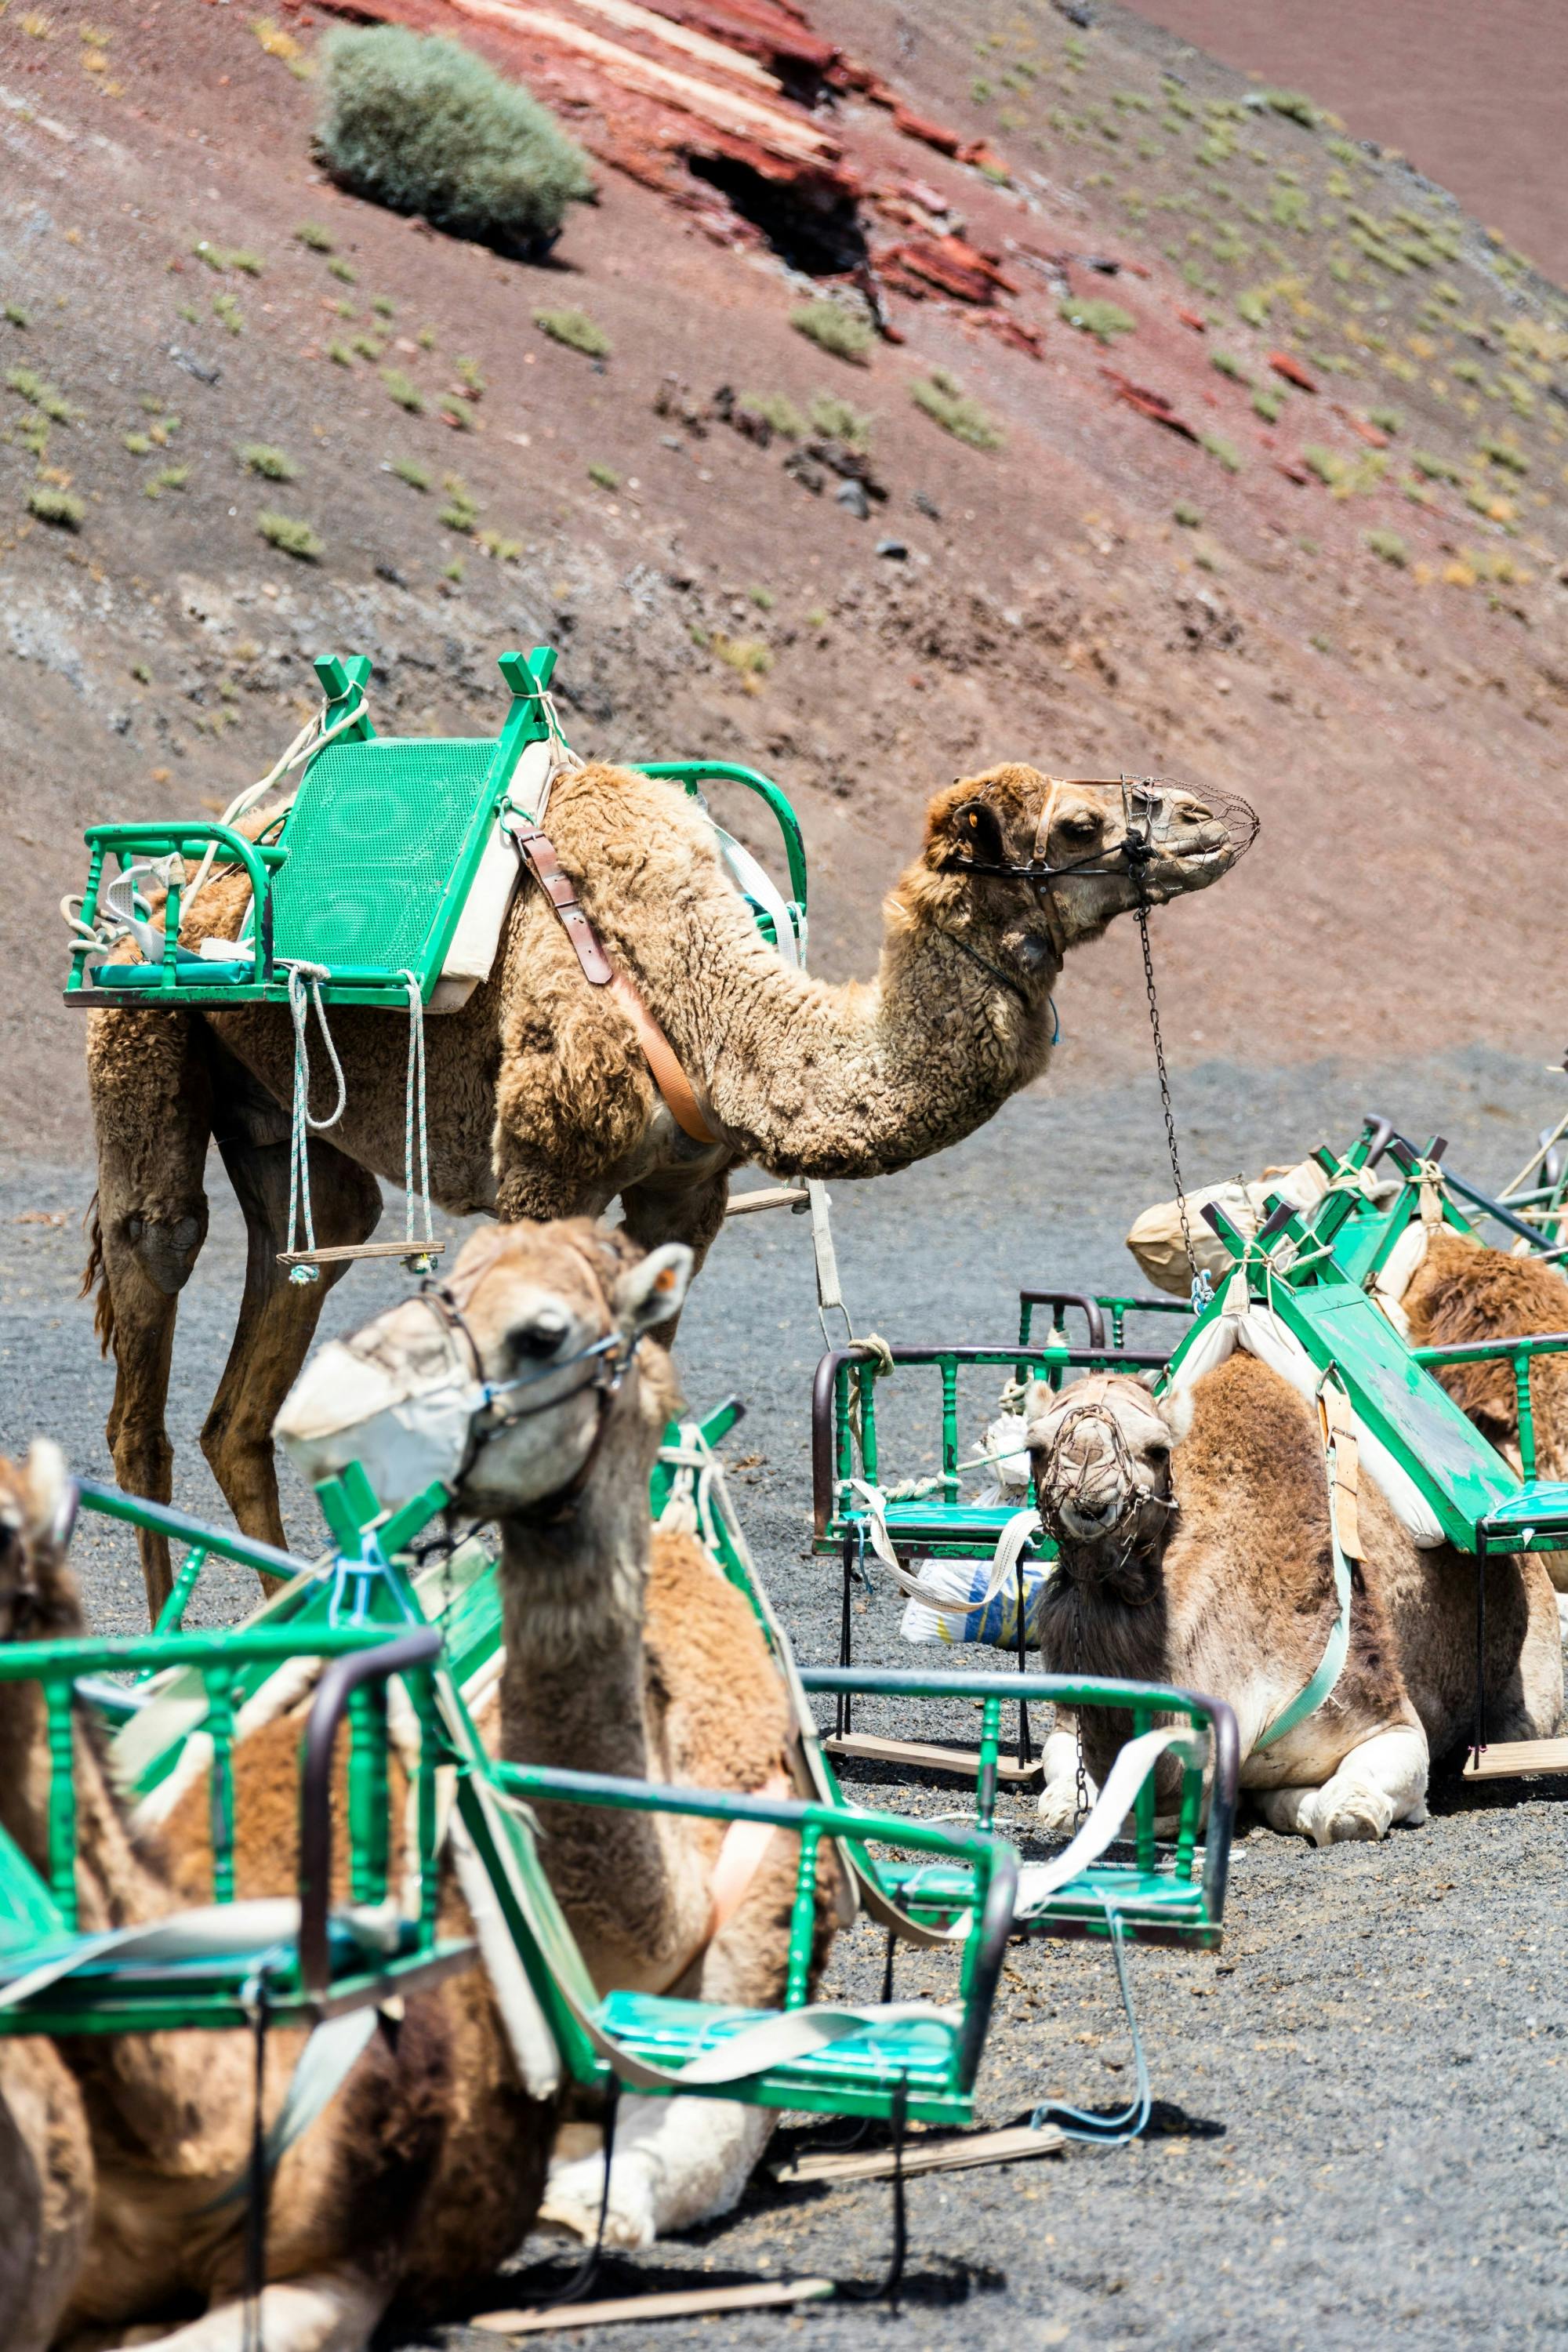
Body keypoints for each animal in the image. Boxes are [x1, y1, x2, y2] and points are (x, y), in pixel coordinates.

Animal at [82, 762, 1241, 1609]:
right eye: (1079, 824)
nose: (1217, 816)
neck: (697, 995)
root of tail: (186, 874)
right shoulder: (542, 1168)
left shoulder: (685, 1195)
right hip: (136, 1032)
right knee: (154, 1286)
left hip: (286, 1128)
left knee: (263, 1360)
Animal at [278, 1223, 846, 2249]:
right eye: (438, 1276)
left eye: (541, 1333)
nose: (320, 1404)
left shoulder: (757, 1965)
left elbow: (688, 2154)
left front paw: (584, 2198)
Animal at [1025, 1364, 1561, 1853]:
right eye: (1035, 1447)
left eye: (1157, 1449)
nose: (1089, 1493)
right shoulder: (1068, 1726)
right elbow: (1069, 1805)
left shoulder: (1386, 1720)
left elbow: (1348, 1814)